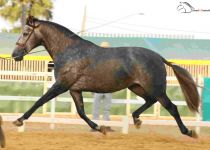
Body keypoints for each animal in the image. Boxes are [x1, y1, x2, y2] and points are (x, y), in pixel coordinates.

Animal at [12, 16, 199, 137]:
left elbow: (39, 101)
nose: (15, 55)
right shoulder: (74, 89)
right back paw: (136, 119)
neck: (69, 51)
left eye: (25, 32)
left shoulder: (61, 85)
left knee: (172, 107)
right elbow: (81, 112)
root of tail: (159, 58)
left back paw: (189, 132)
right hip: (137, 87)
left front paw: (19, 120)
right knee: (150, 101)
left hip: (157, 89)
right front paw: (99, 128)